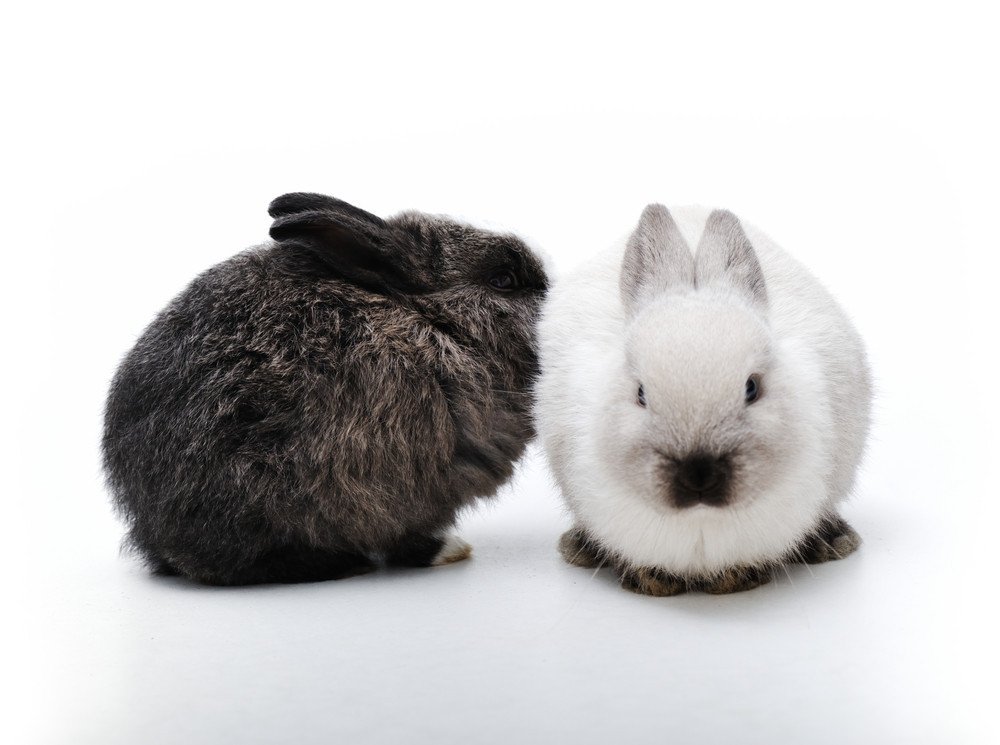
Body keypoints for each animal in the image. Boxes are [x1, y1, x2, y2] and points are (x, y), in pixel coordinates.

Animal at [103, 192, 549, 585]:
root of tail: (151, 531)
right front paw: (450, 551)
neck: (435, 324)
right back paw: (348, 564)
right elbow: (409, 538)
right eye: (503, 279)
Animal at [535, 204, 872, 595]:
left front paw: (736, 578)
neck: (700, 521)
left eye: (752, 388)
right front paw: (652, 579)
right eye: (640, 394)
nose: (699, 475)